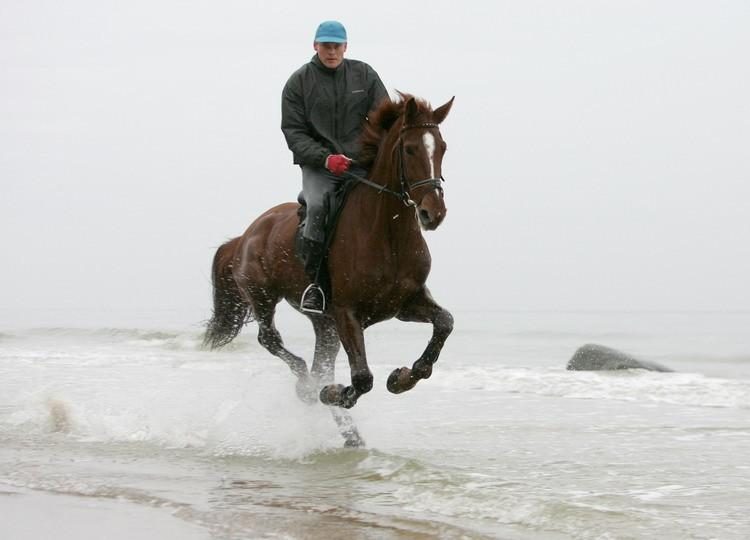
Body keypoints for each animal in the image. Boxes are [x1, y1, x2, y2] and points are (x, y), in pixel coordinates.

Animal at [203, 94, 456, 442]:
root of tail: (246, 235)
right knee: (272, 341)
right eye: (409, 149)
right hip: (264, 297)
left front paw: (404, 377)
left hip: (324, 325)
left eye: (442, 147)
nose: (434, 213)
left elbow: (444, 322)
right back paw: (310, 389)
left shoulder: (404, 303)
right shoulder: (347, 312)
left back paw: (351, 434)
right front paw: (334, 392)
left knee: (318, 362)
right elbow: (362, 378)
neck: (387, 234)